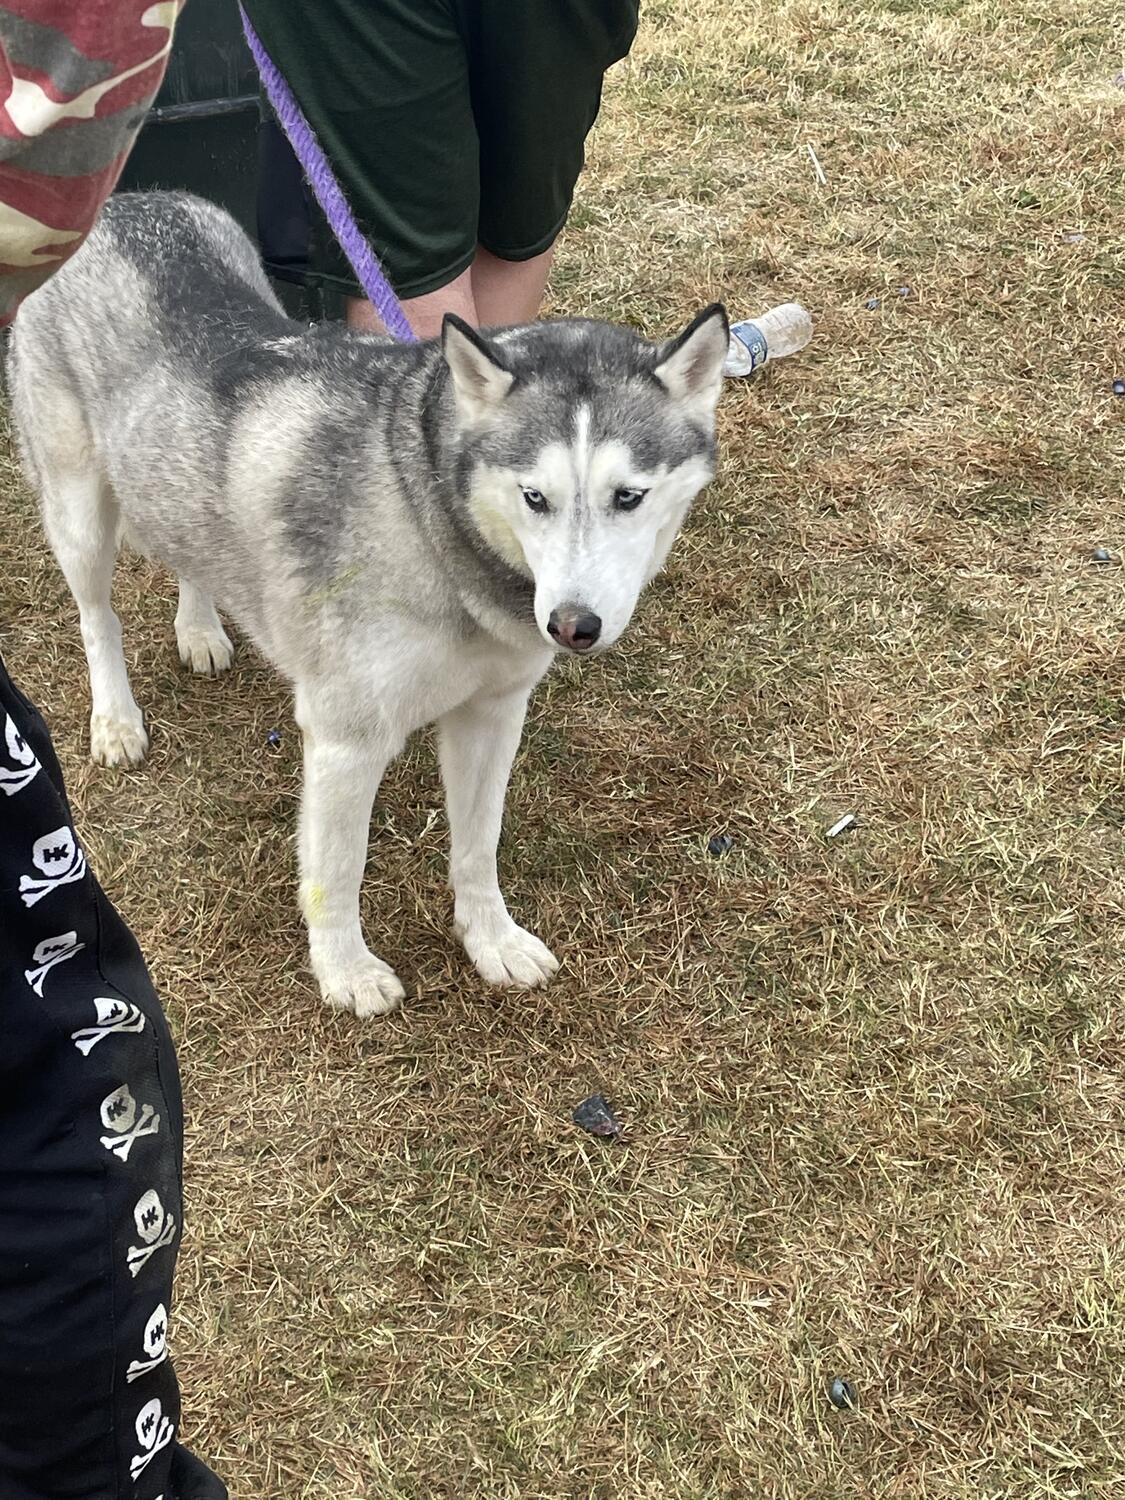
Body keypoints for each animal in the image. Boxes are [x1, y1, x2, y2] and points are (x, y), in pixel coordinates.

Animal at [8, 190, 726, 1020]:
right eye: (534, 497)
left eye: (628, 497)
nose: (571, 626)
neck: (431, 515)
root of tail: (125, 200)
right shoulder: (345, 738)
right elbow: (337, 872)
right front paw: (344, 973)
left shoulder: (493, 711)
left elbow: (477, 843)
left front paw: (492, 940)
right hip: (79, 509)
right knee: (98, 616)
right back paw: (117, 719)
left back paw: (200, 625)